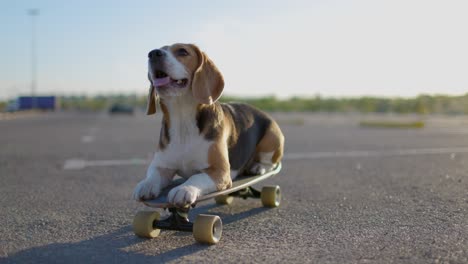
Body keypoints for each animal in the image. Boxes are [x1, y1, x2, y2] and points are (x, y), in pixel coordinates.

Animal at [133, 43, 286, 208]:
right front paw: (146, 184)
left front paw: (184, 189)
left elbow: (196, 177)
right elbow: (153, 175)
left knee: (270, 162)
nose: (153, 54)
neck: (182, 119)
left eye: (182, 51)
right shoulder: (162, 165)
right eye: (158, 49)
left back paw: (258, 167)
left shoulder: (220, 172)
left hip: (272, 136)